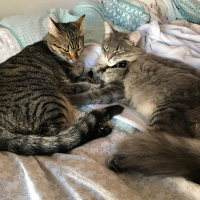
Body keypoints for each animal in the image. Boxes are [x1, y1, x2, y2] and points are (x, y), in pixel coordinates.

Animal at [0, 16, 123, 155]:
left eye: (79, 48)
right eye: (65, 50)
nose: (74, 59)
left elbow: (91, 72)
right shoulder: (67, 83)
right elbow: (85, 82)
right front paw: (96, 83)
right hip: (50, 100)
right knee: (66, 136)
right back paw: (100, 129)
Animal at [68, 21, 200, 183]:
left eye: (118, 51)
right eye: (106, 48)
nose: (109, 57)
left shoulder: (116, 89)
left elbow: (91, 94)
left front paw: (71, 98)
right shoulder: (99, 80)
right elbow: (83, 83)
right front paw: (68, 87)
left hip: (166, 115)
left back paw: (120, 161)